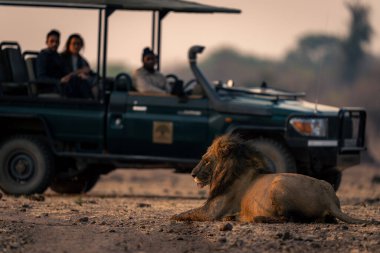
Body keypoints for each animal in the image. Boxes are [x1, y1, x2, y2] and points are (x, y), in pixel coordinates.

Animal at [173, 134, 368, 223]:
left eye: (206, 160)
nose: (192, 174)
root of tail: (329, 200)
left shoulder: (212, 211)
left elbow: (186, 213)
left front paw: (174, 216)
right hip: (326, 184)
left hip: (278, 185)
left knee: (288, 218)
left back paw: (251, 218)